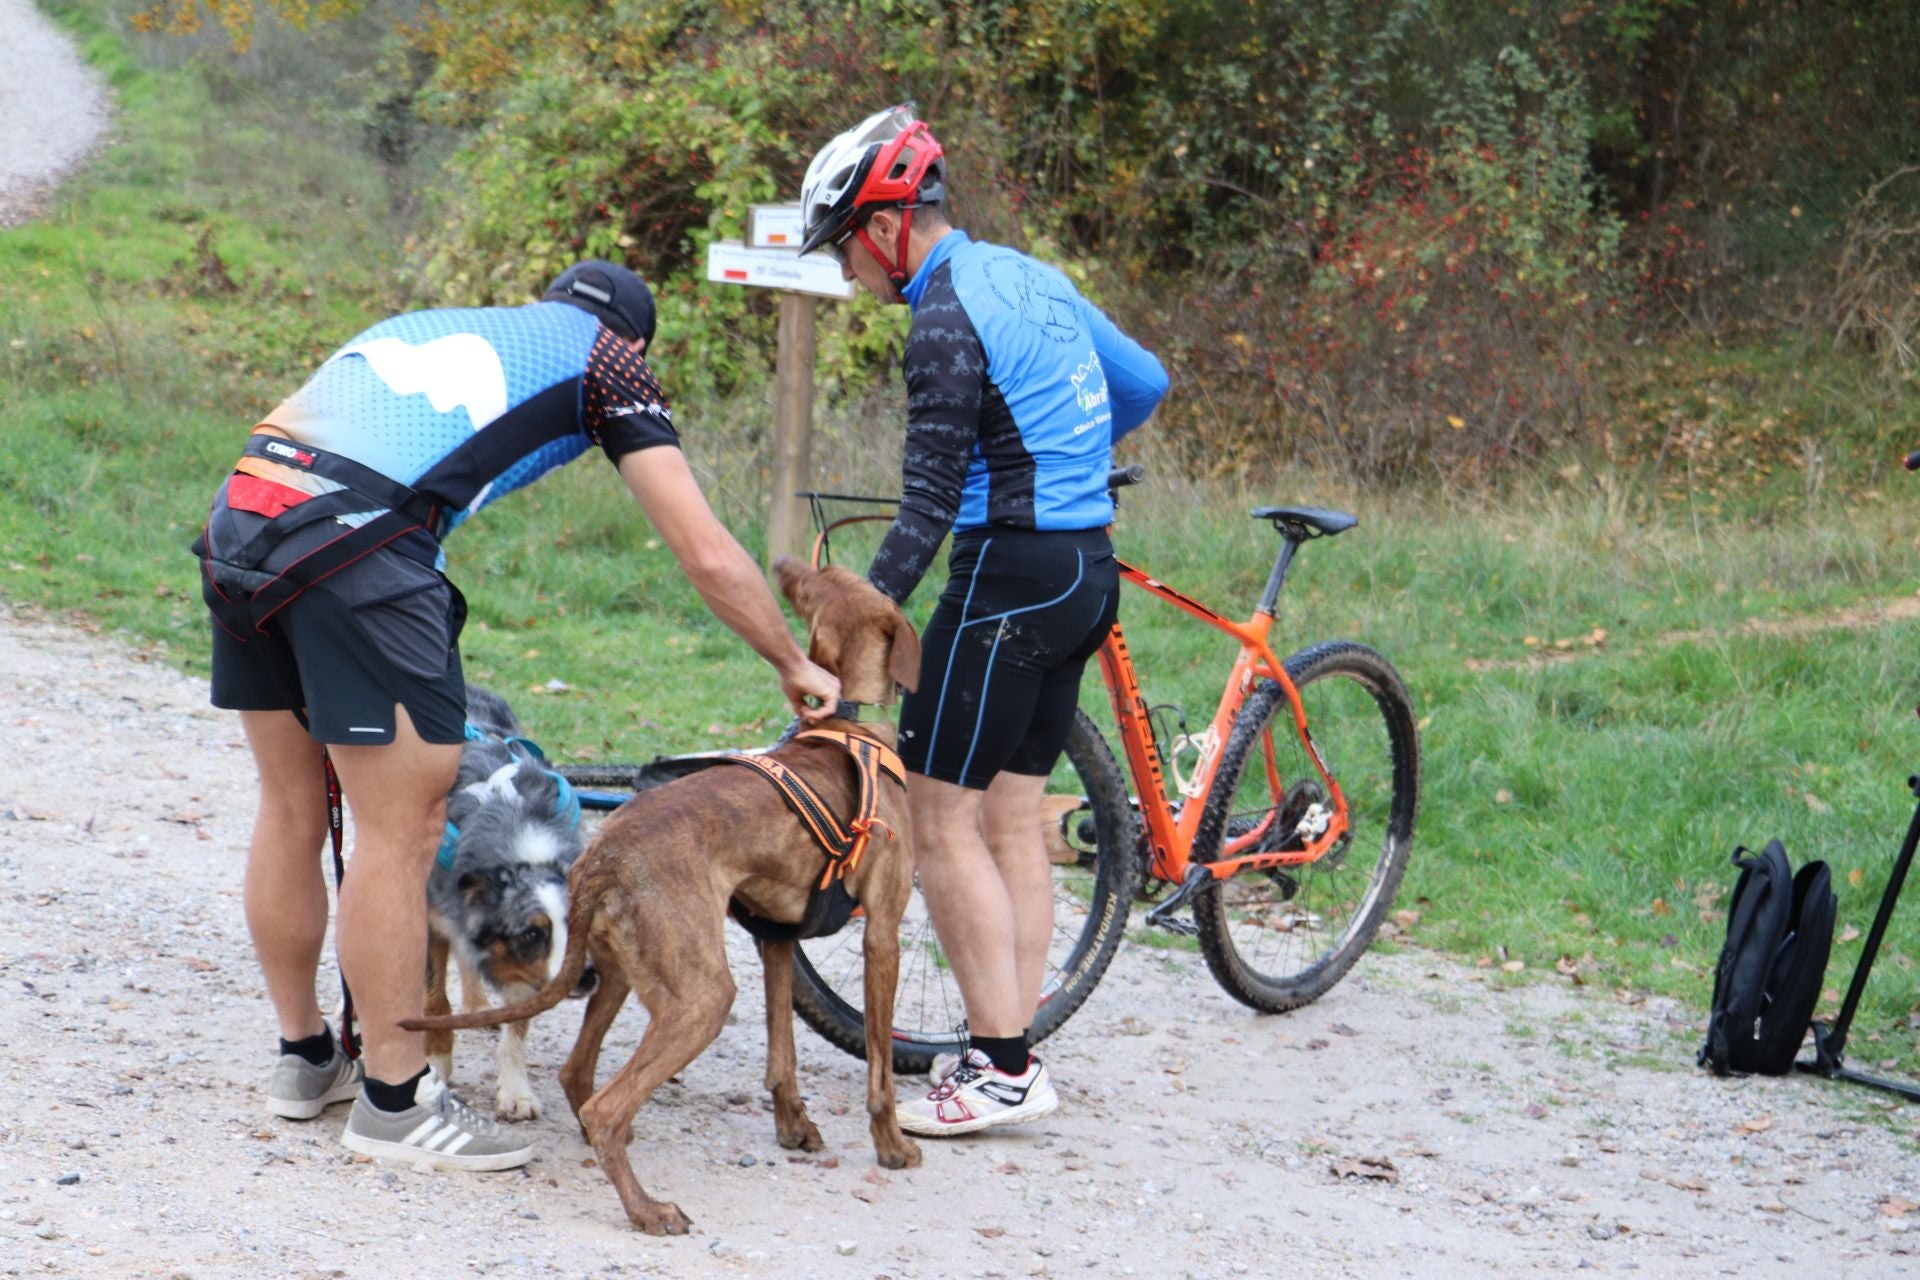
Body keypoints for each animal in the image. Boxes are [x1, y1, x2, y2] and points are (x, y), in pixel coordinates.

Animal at [426, 687, 591, 1113]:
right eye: (533, 934)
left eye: (578, 925)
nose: (586, 978)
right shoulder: (428, 917)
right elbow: (434, 1001)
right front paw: (434, 1066)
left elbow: (518, 1025)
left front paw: (516, 1090)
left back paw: (478, 1007)